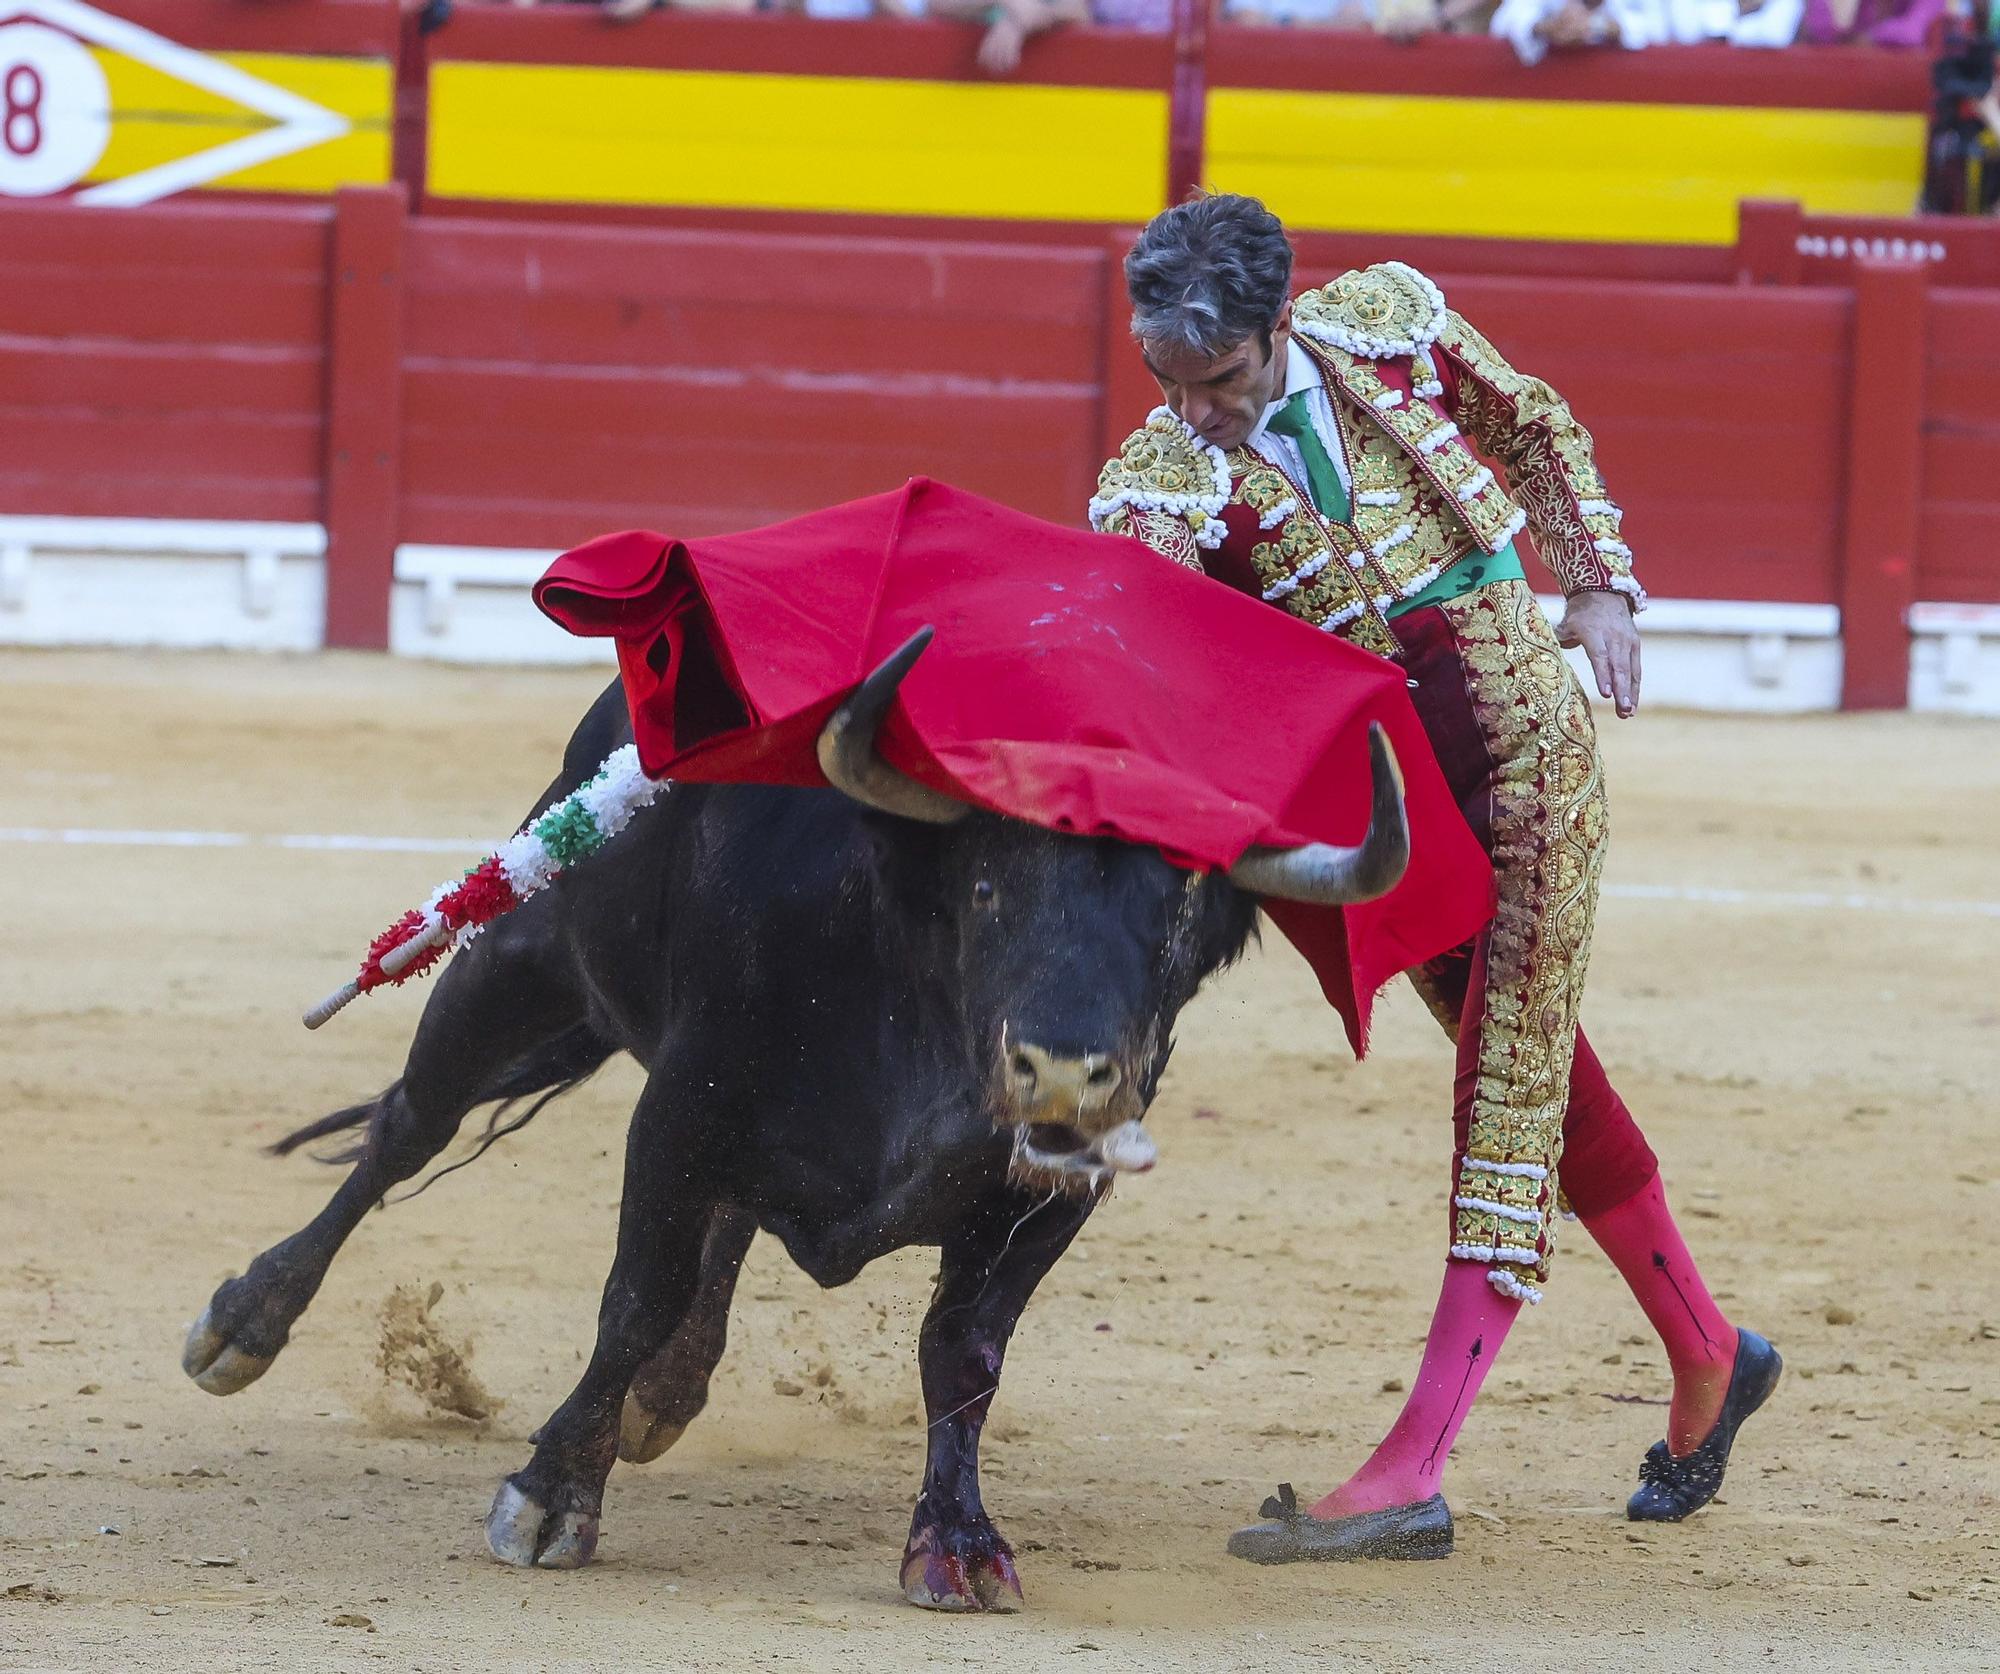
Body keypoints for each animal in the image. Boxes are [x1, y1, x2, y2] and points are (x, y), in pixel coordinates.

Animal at [188, 632, 1408, 1616]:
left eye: (1181, 914)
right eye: (987, 888)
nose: (1062, 1074)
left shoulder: (1051, 1193)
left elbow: (963, 1351)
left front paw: (957, 1545)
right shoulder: (677, 1112)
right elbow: (633, 1297)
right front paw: (549, 1497)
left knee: (721, 1224)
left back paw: (668, 1394)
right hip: (519, 954)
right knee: (409, 1126)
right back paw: (242, 1324)